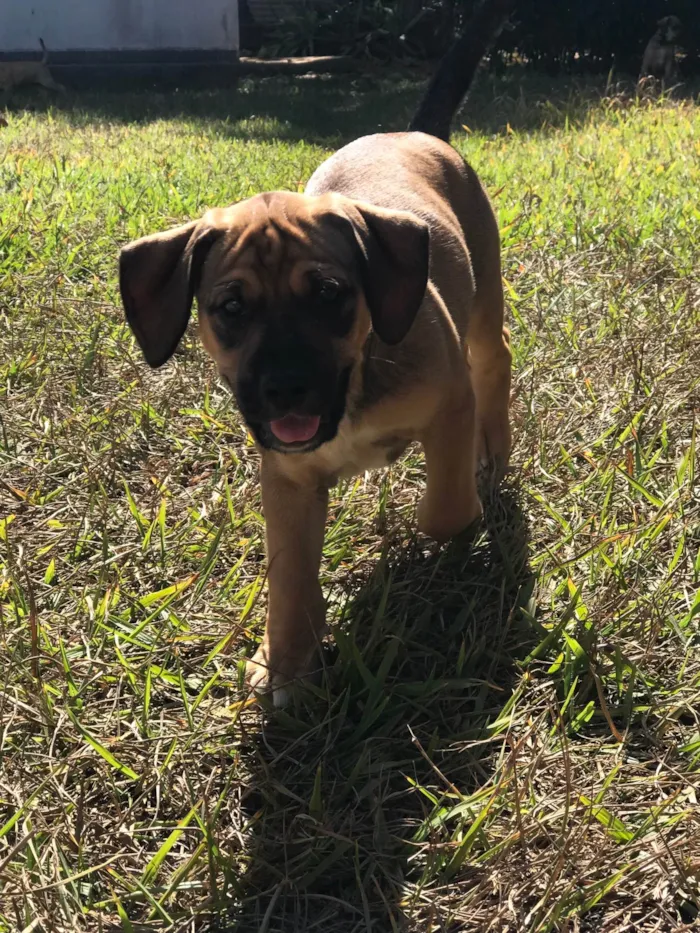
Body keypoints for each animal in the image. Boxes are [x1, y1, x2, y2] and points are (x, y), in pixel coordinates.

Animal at [119, 0, 516, 704]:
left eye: (329, 294)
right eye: (230, 308)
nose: (284, 389)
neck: (353, 387)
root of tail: (414, 133)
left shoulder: (449, 405)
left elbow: (443, 512)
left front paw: (442, 528)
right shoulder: (287, 481)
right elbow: (290, 578)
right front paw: (285, 660)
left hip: (485, 301)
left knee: (495, 366)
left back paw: (492, 457)